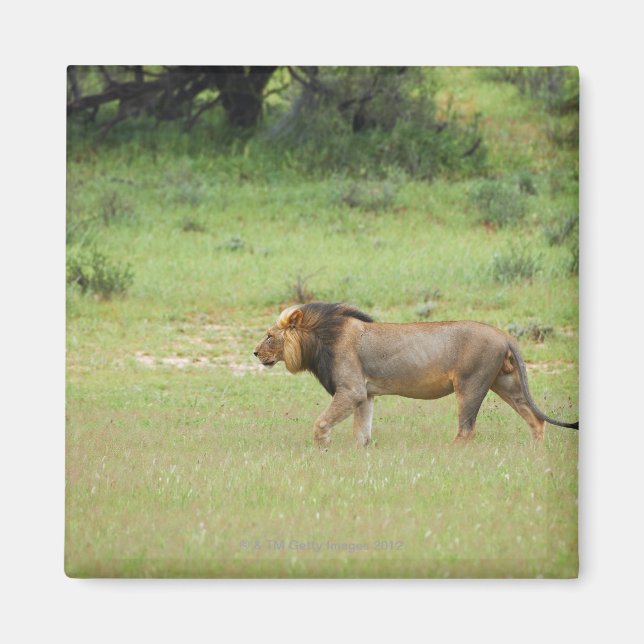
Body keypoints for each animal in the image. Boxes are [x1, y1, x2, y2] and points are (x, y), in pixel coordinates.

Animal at [253, 302, 578, 447]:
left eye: (269, 336)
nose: (254, 353)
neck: (321, 339)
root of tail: (504, 334)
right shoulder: (365, 394)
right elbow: (362, 431)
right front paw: (359, 453)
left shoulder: (351, 390)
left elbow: (321, 423)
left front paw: (323, 447)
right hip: (506, 382)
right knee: (535, 418)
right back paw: (536, 452)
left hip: (471, 384)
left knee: (466, 430)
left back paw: (449, 453)